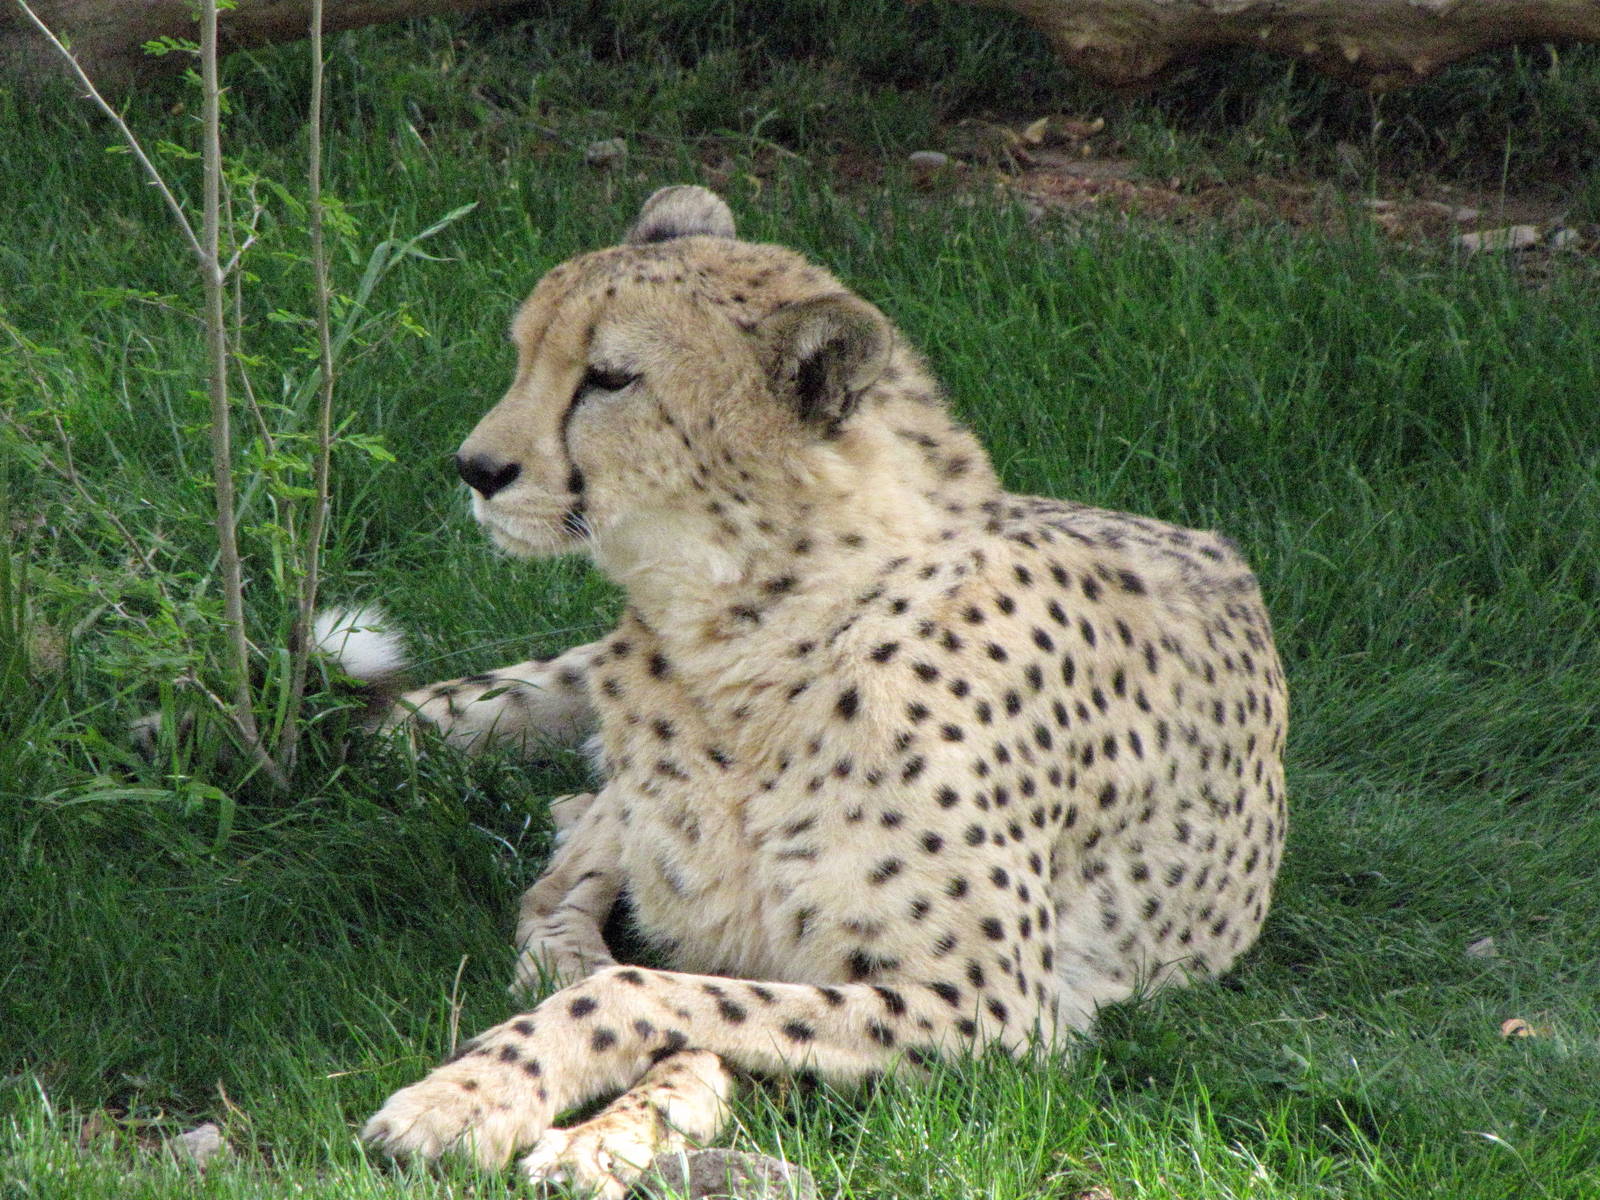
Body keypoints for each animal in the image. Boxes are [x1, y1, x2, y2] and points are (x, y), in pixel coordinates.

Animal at [361, 185, 1288, 1196]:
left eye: (609, 379)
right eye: (526, 352)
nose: (475, 468)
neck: (750, 637)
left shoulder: (997, 1007)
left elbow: (664, 1005)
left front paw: (533, 1118)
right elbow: (654, 988)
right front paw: (500, 1095)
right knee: (560, 888)